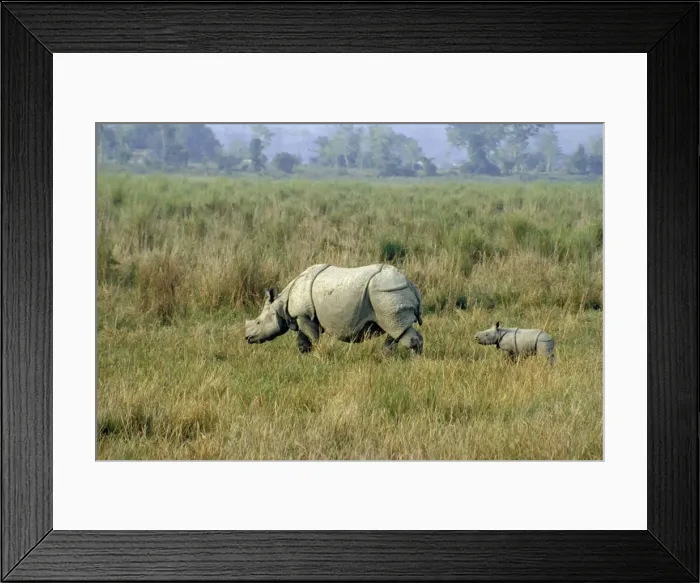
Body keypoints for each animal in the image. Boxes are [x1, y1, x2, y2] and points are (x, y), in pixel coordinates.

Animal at [244, 263, 424, 356]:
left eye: (258, 322)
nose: (247, 338)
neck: (281, 302)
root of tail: (410, 284)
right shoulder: (302, 317)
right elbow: (302, 340)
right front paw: (304, 355)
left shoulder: (304, 315)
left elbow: (313, 337)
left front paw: (315, 354)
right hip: (391, 294)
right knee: (396, 329)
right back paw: (387, 358)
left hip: (387, 293)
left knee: (396, 328)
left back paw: (412, 361)